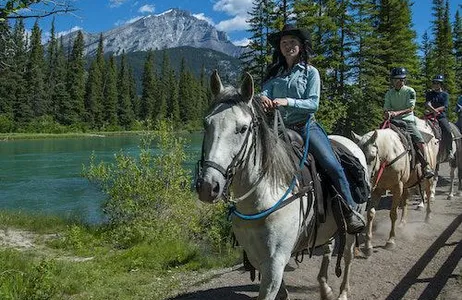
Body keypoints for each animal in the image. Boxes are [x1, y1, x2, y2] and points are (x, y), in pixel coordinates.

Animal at [197, 71, 370, 300]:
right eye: (206, 124)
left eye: (242, 128)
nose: (208, 186)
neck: (264, 197)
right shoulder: (256, 256)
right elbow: (281, 293)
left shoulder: (275, 262)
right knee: (328, 248)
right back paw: (325, 288)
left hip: (352, 227)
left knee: (348, 256)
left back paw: (342, 292)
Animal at [352, 118, 438, 254]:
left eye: (372, 156)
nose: (365, 180)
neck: (389, 155)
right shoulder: (378, 189)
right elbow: (370, 213)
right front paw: (368, 246)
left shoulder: (397, 187)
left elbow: (393, 213)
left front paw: (390, 241)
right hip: (406, 184)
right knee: (406, 199)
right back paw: (402, 223)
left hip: (427, 179)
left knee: (428, 194)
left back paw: (427, 217)